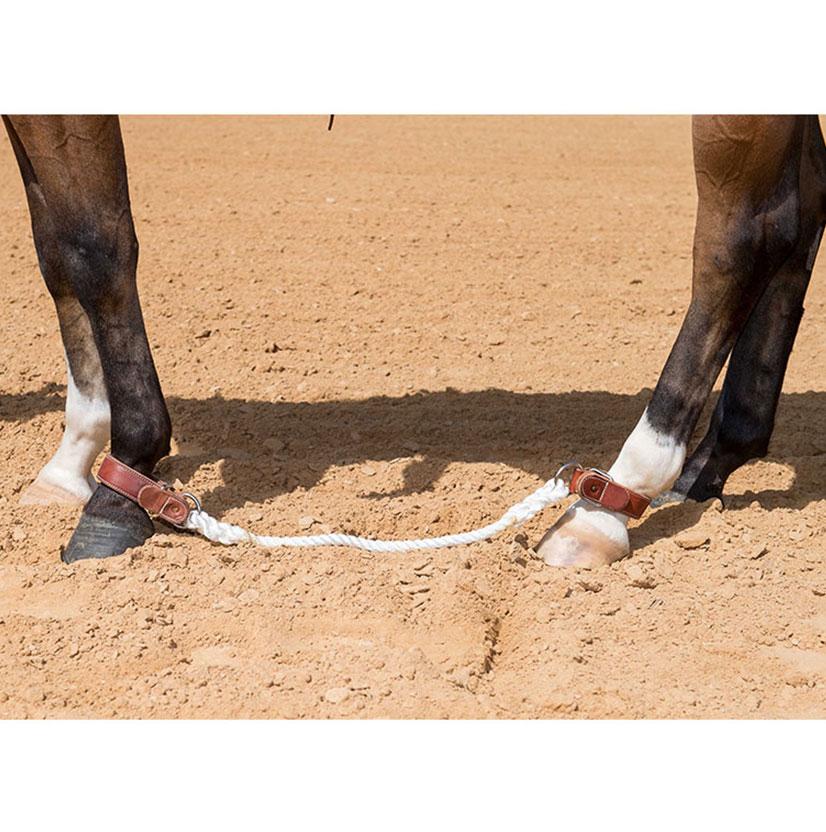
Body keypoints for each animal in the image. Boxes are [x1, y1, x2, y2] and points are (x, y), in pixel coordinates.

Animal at [3, 115, 825, 566]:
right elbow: (54, 249)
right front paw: (74, 452)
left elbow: (91, 242)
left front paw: (121, 483)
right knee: (801, 210)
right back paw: (717, 457)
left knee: (744, 236)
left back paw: (613, 501)